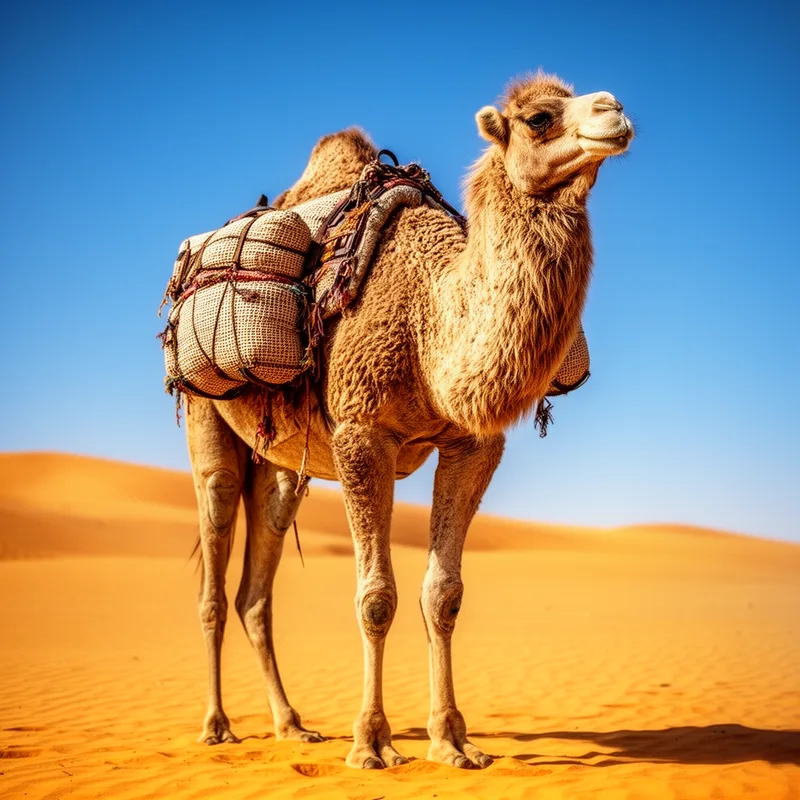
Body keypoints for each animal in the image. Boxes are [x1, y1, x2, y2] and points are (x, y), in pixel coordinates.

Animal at [184, 72, 633, 769]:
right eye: (538, 118)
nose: (615, 113)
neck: (431, 320)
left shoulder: (473, 444)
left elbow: (442, 593)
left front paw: (453, 741)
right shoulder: (362, 433)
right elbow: (376, 597)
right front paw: (372, 743)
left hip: (281, 467)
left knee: (256, 589)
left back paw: (292, 725)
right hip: (207, 418)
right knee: (212, 562)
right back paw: (217, 726)